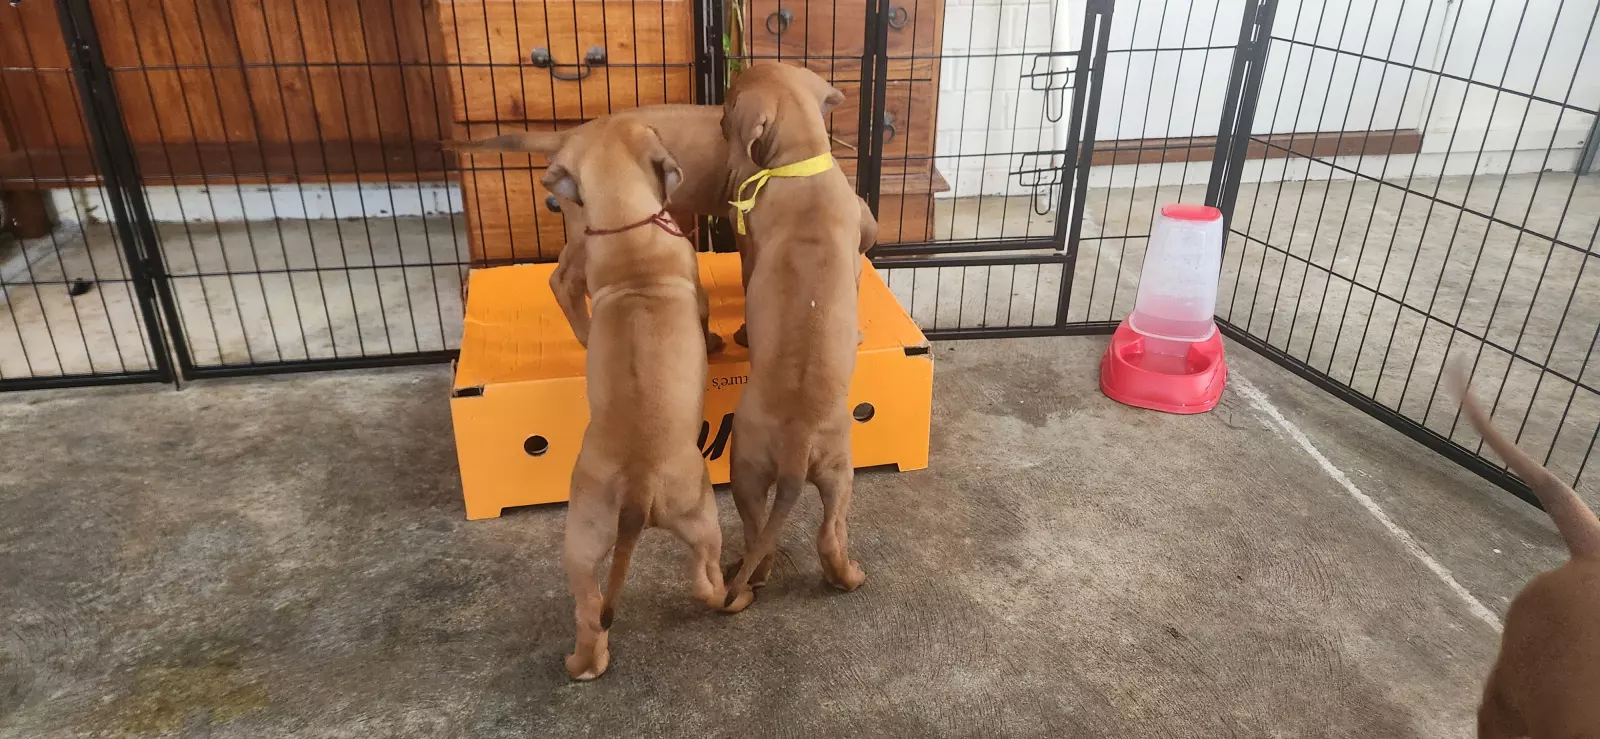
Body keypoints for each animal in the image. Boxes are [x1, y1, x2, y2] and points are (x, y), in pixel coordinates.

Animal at [547, 117, 727, 680]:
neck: (627, 223)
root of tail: (637, 481)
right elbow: (706, 318)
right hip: (701, 513)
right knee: (703, 574)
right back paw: (727, 593)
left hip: (580, 541)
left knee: (590, 609)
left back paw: (583, 663)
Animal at [718, 62, 878, 612]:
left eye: (727, 102)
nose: (718, 123)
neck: (799, 164)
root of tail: (796, 442)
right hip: (835, 469)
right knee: (823, 534)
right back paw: (847, 577)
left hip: (753, 467)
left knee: (764, 538)